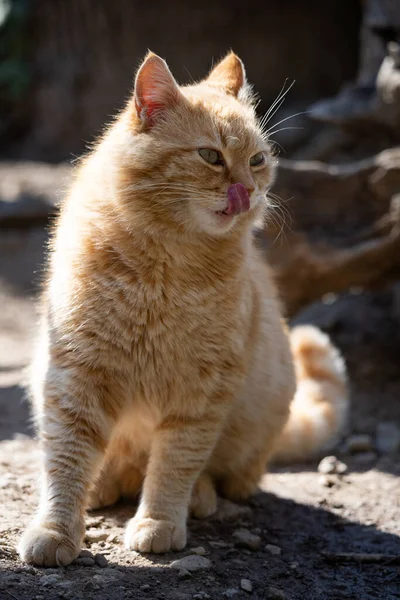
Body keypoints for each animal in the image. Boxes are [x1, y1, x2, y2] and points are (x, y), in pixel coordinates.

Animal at [19, 52, 346, 568]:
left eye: (257, 160)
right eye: (210, 156)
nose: (247, 190)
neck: (163, 267)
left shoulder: (202, 391)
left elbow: (175, 462)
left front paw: (159, 521)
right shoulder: (75, 374)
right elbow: (66, 461)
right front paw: (55, 530)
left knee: (223, 476)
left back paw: (197, 497)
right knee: (116, 464)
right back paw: (104, 483)